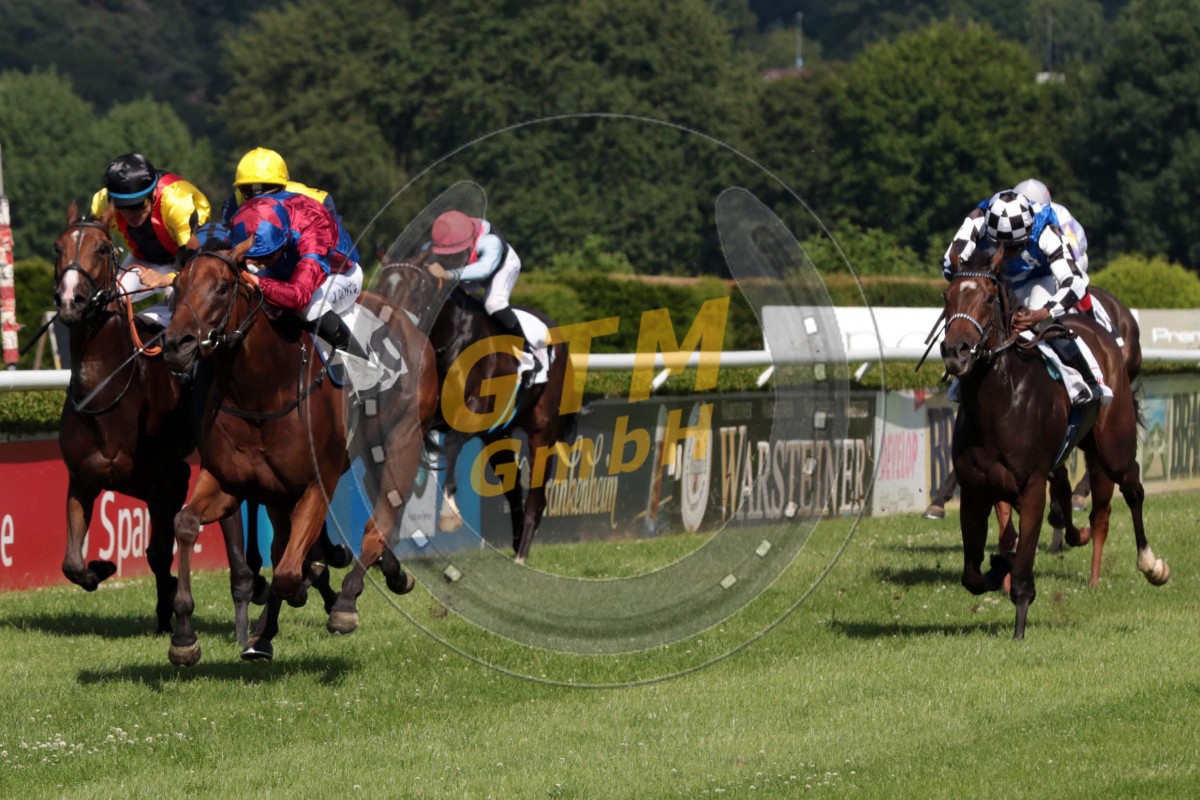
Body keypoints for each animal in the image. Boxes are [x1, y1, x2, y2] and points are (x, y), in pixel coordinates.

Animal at [51, 203, 255, 644]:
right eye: (59, 247)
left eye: (102, 248)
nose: (72, 299)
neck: (107, 393)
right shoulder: (82, 479)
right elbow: (72, 563)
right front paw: (103, 567)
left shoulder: (170, 480)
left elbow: (160, 552)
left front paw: (168, 611)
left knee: (232, 524)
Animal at [162, 240, 439, 665]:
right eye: (176, 287)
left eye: (223, 288)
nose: (178, 345)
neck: (261, 391)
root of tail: (408, 324)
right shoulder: (229, 481)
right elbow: (186, 523)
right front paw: (184, 637)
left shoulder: (315, 484)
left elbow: (289, 570)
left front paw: (314, 582)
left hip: (403, 438)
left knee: (378, 522)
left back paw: (345, 599)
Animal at [376, 260, 574, 564]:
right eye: (383, 284)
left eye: (415, 289)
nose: (388, 328)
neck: (451, 340)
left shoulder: (473, 414)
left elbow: (451, 448)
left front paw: (448, 514)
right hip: (497, 435)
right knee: (514, 487)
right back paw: (516, 546)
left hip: (543, 430)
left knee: (536, 496)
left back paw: (522, 554)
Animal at [940, 246, 1169, 639]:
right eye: (947, 297)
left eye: (988, 297)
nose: (956, 351)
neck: (1000, 402)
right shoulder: (975, 489)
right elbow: (973, 575)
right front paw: (999, 565)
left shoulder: (1031, 486)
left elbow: (1023, 571)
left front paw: (1019, 628)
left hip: (1113, 446)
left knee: (1132, 487)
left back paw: (1149, 563)